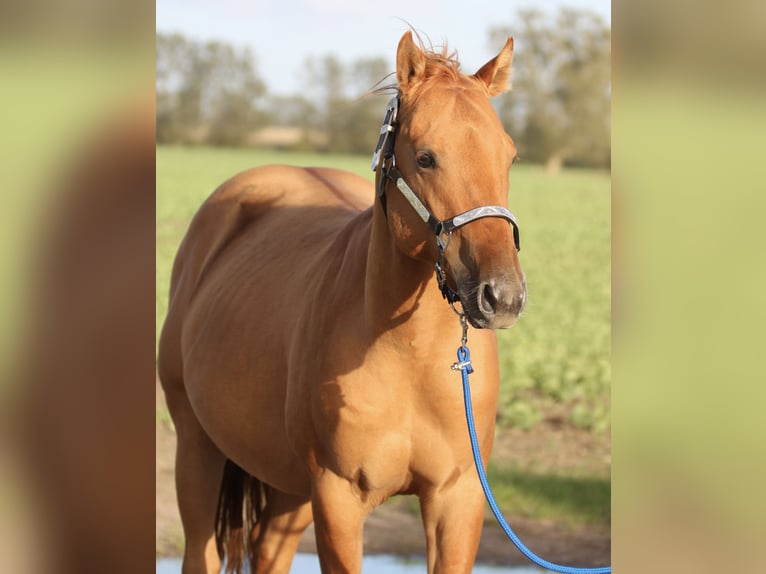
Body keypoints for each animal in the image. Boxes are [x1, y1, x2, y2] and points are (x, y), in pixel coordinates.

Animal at [158, 31, 526, 574]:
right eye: (425, 157)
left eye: (509, 156)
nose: (502, 296)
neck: (409, 357)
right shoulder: (338, 499)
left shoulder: (457, 498)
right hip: (197, 447)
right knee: (199, 550)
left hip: (289, 487)